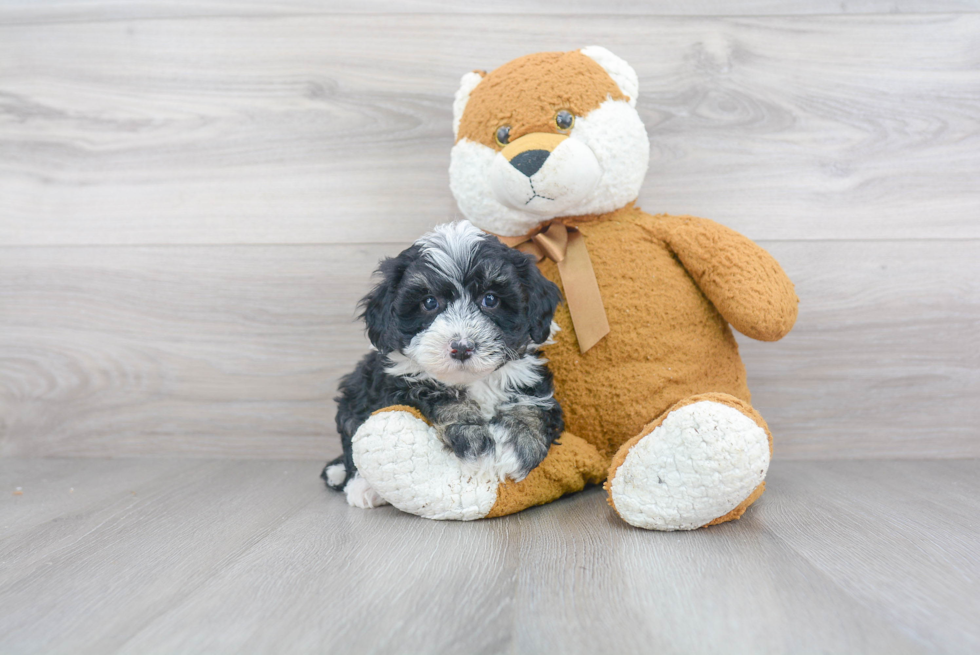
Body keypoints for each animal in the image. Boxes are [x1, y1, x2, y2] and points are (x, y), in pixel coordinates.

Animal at [322, 219, 564, 508]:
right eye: (429, 302)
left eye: (490, 299)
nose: (461, 347)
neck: (474, 381)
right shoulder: (398, 383)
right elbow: (443, 398)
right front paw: (476, 442)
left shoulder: (527, 376)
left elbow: (530, 406)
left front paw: (518, 444)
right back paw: (360, 485)